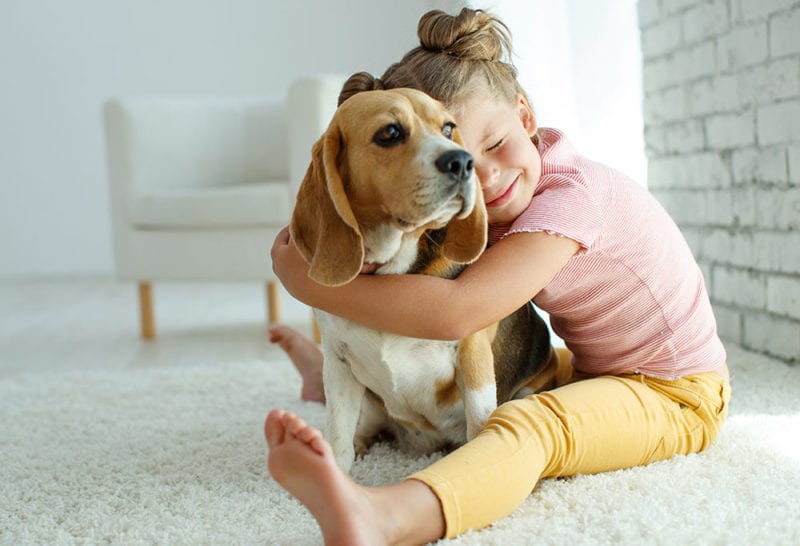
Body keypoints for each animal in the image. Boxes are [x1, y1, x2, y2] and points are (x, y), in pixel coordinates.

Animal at [288, 83, 556, 470]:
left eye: (447, 129)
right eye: (390, 133)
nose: (462, 161)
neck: (393, 270)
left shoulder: (472, 353)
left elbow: (480, 423)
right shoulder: (337, 363)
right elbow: (338, 436)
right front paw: (333, 470)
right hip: (369, 401)